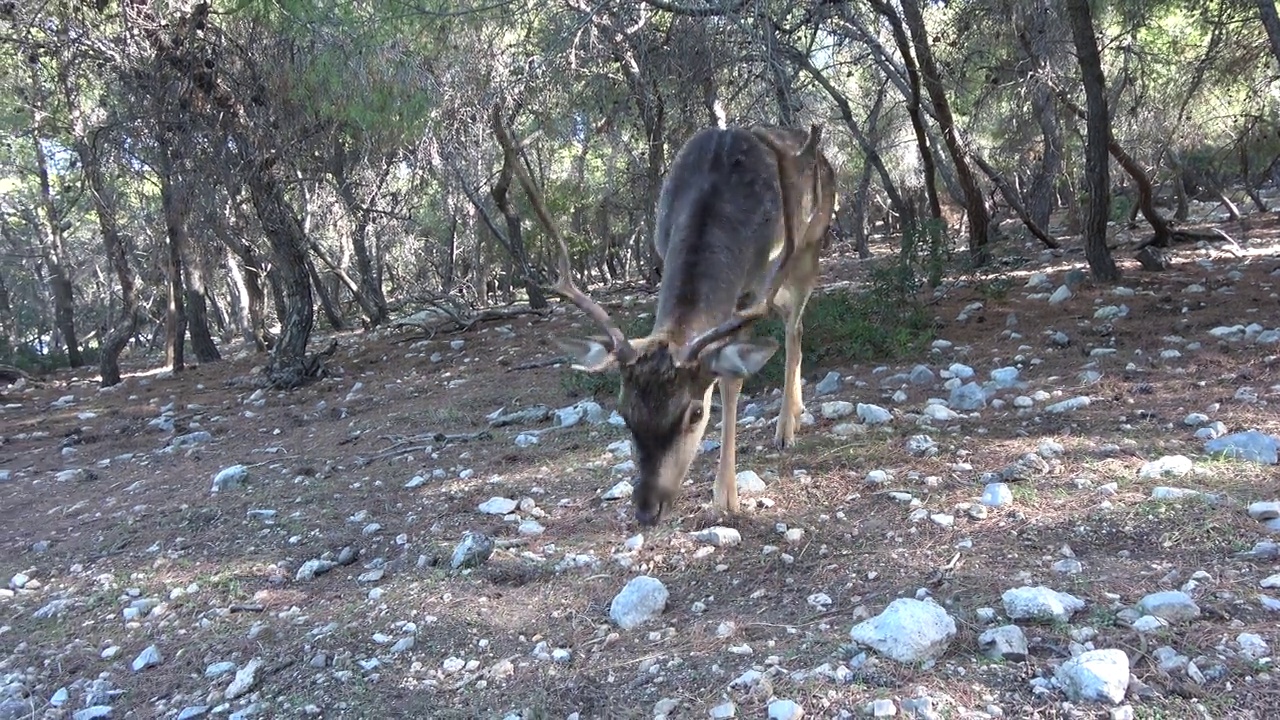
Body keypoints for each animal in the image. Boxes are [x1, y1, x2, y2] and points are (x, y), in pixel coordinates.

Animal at [491, 113, 839, 527]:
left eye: (696, 413)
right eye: (623, 412)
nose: (646, 509)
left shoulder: (756, 287)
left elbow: (731, 380)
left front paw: (726, 497)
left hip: (810, 247)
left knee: (794, 326)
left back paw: (786, 426)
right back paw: (796, 414)